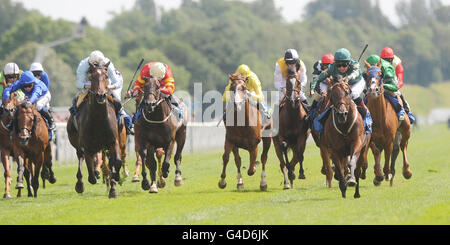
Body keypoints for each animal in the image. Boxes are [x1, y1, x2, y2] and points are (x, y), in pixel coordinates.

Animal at [66, 60, 125, 197]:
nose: (101, 95)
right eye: (91, 77)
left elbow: (116, 162)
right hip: (76, 141)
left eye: (106, 76)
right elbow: (91, 174)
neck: (99, 119)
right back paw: (80, 184)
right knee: (80, 156)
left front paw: (114, 186)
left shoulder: (113, 142)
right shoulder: (87, 146)